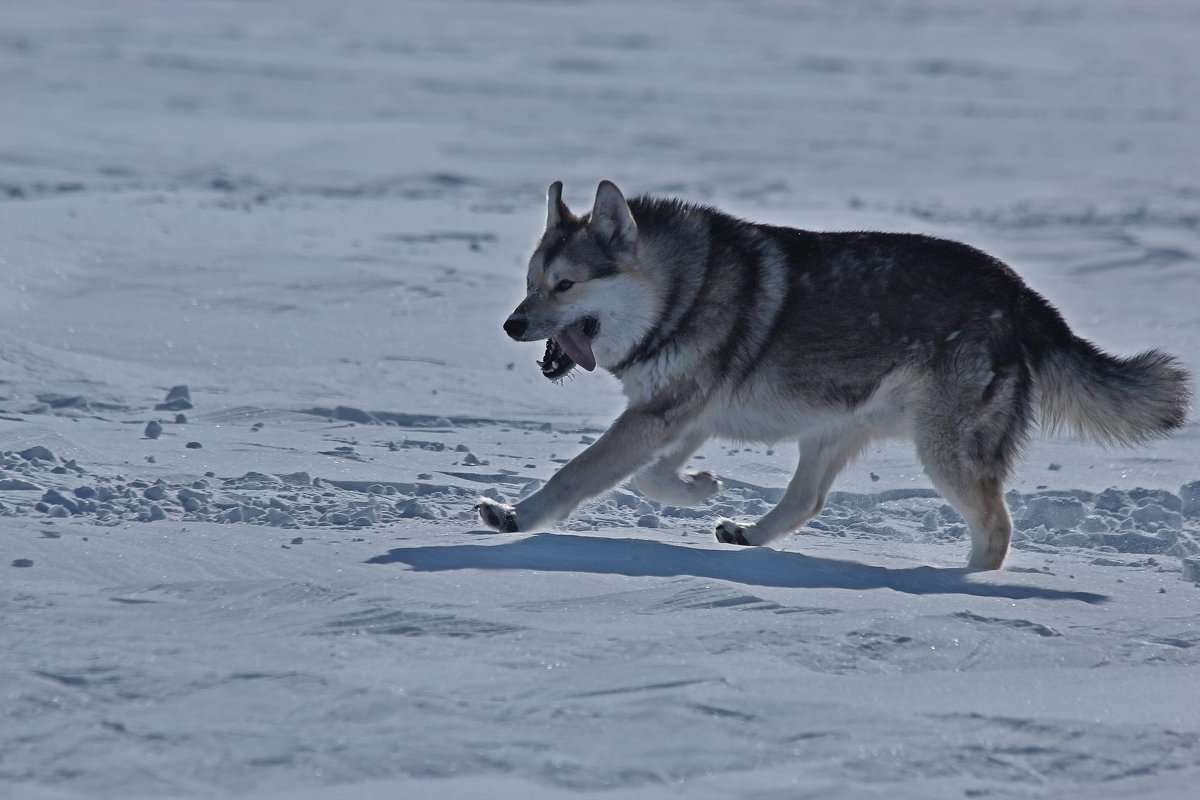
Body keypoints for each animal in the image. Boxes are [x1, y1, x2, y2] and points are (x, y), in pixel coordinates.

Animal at [477, 181, 1190, 568]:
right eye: (530, 281)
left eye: (564, 286)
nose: (510, 325)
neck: (680, 291)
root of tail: (1022, 296)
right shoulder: (680, 413)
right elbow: (651, 476)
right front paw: (702, 488)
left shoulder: (662, 413)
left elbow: (578, 474)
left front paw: (514, 516)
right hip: (833, 428)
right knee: (805, 501)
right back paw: (748, 533)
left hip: (942, 449)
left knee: (997, 527)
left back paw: (960, 587)